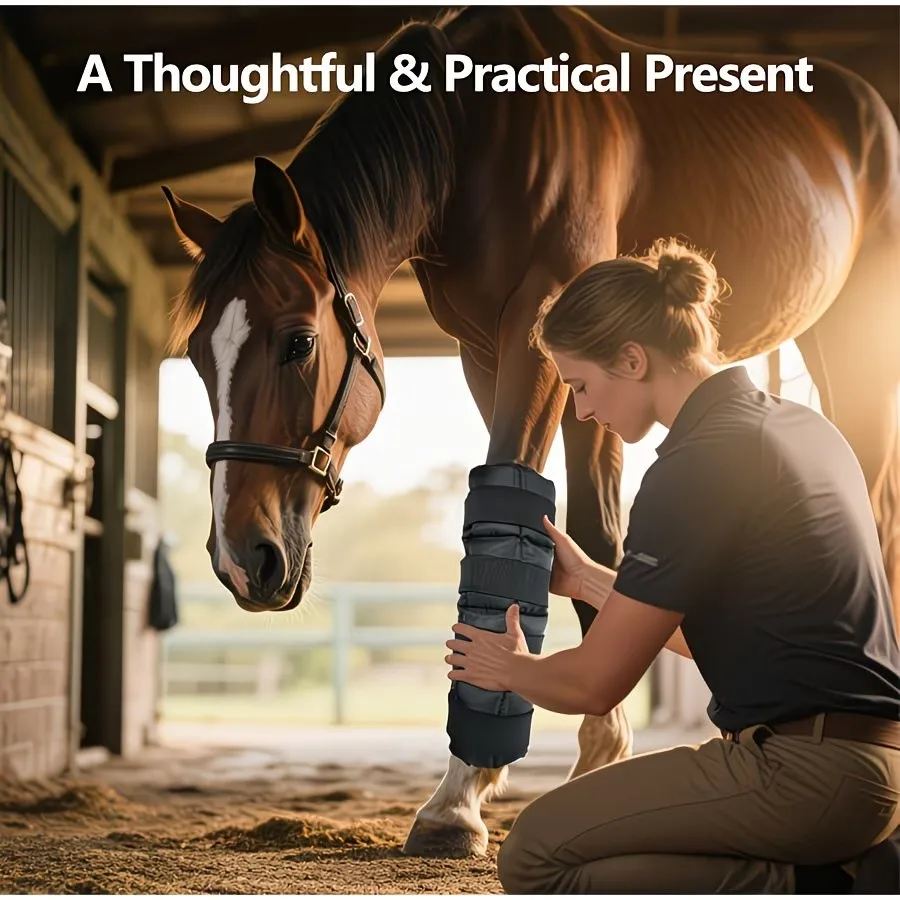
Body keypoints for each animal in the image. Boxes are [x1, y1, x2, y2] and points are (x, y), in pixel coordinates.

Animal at [162, 6, 900, 858]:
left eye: (299, 342)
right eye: (195, 354)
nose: (242, 561)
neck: (474, 128)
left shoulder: (542, 324)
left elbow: (515, 495)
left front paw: (459, 795)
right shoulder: (492, 351)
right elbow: (591, 529)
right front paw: (597, 751)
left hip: (853, 339)